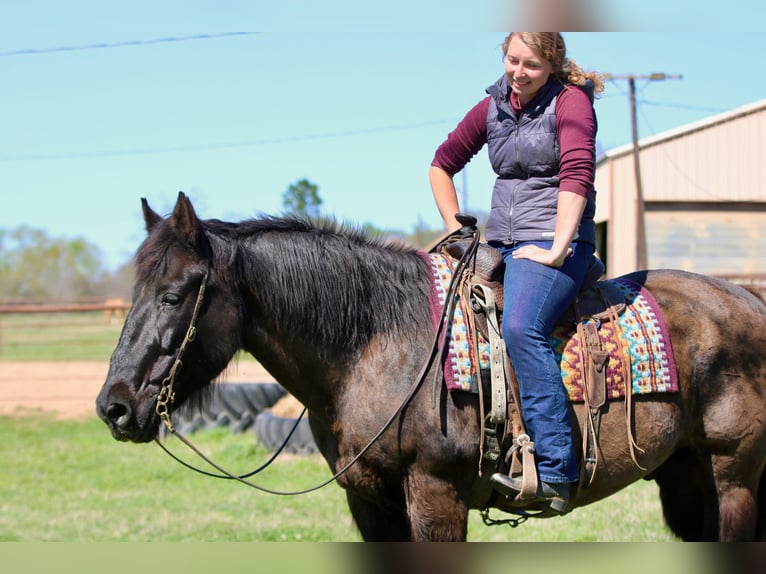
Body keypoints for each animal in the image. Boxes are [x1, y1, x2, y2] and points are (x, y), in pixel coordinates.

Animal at [96, 192, 766, 541]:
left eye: (174, 295)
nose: (115, 406)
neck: (374, 346)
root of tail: (748, 300)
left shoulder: (436, 495)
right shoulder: (371, 505)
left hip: (734, 477)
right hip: (685, 477)